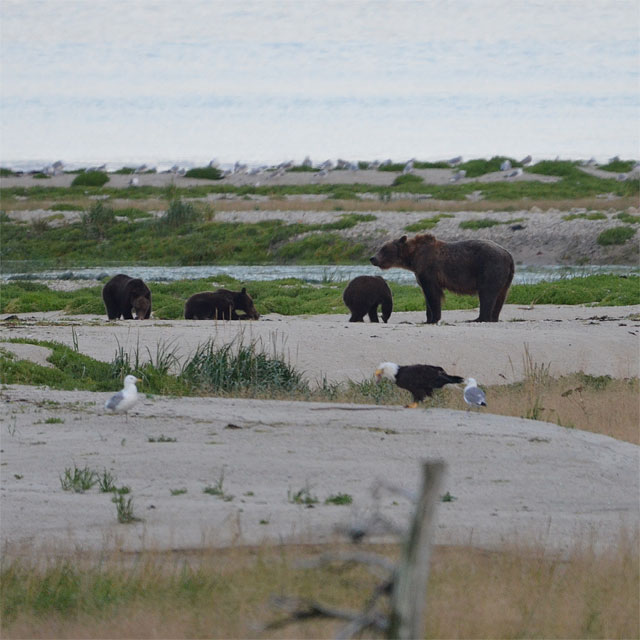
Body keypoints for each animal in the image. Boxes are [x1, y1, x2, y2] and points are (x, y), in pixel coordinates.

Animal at [370, 234, 516, 322]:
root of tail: (508, 255)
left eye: (383, 249)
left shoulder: (429, 270)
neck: (413, 258)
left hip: (489, 267)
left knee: (487, 293)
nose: (372, 258)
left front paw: (434, 318)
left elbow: (433, 293)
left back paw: (479, 318)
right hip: (506, 277)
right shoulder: (420, 273)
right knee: (501, 296)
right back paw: (493, 317)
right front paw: (428, 319)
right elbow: (426, 294)